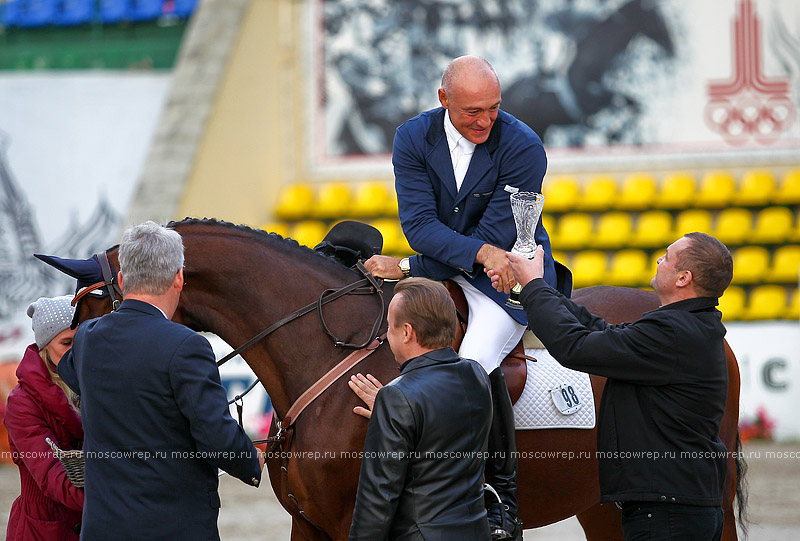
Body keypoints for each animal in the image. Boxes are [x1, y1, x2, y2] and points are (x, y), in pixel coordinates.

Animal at [67, 218, 744, 536]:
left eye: (91, 299)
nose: (69, 370)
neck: (324, 354)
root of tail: (707, 324)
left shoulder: (353, 521)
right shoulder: (310, 525)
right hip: (606, 505)